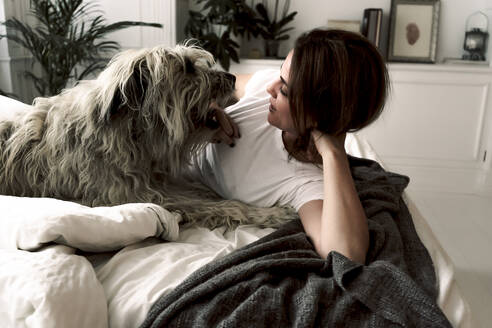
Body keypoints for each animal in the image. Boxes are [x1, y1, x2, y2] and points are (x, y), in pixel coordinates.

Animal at [0, 44, 294, 228]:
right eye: (187, 67)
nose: (232, 77)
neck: (131, 134)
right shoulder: (142, 196)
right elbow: (218, 205)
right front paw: (270, 213)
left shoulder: (161, 181)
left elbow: (199, 190)